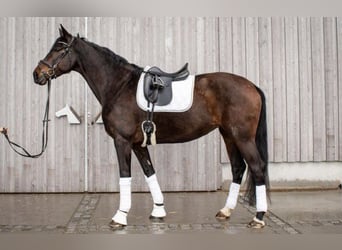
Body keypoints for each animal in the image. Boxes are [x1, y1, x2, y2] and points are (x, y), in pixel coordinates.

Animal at [34, 24, 270, 229]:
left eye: (58, 48)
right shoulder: (138, 144)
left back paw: (258, 218)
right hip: (228, 135)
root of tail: (251, 86)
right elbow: (149, 172)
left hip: (242, 137)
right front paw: (158, 210)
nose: (37, 74)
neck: (119, 86)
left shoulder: (122, 141)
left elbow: (125, 175)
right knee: (238, 168)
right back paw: (226, 211)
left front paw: (120, 216)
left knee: (257, 167)